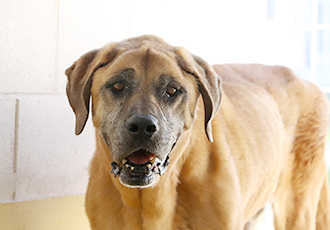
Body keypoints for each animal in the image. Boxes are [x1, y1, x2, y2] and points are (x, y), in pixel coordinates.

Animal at [65, 34, 330, 230]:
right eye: (118, 86)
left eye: (172, 90)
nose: (143, 127)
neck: (153, 199)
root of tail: (310, 83)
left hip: (297, 207)